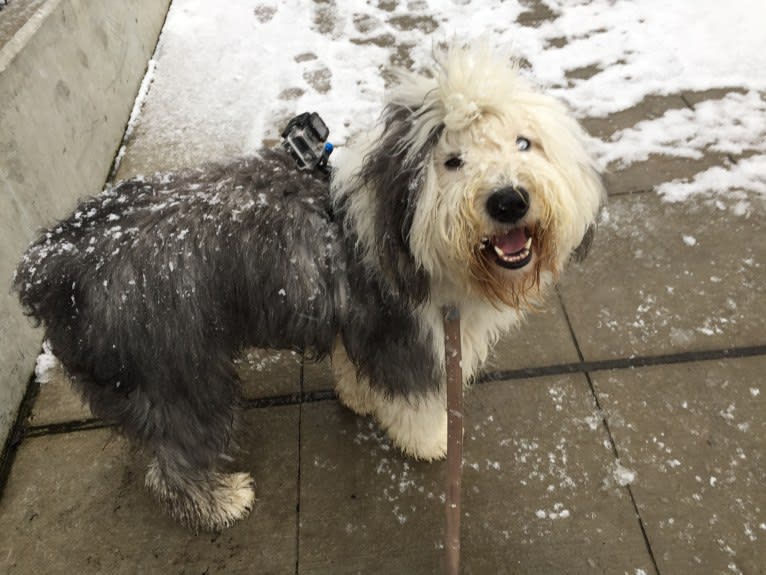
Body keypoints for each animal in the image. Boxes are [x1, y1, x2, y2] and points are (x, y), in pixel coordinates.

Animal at [13, 42, 608, 532]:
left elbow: (355, 370)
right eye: (453, 160)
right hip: (178, 372)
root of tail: (52, 264)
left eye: (524, 143)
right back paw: (221, 502)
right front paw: (430, 441)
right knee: (176, 456)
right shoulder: (404, 337)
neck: (400, 223)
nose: (509, 200)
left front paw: (359, 397)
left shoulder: (360, 326)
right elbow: (415, 403)